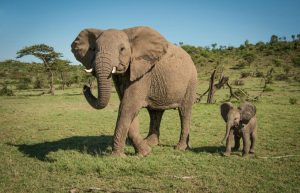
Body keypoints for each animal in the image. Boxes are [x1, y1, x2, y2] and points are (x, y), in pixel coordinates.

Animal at [70, 26, 197, 157]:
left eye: (122, 49)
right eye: (94, 49)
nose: (86, 86)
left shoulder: (144, 72)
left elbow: (128, 105)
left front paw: (117, 157)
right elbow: (127, 106)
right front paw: (144, 152)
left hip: (191, 81)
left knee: (184, 111)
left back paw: (180, 148)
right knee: (155, 112)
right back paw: (150, 143)